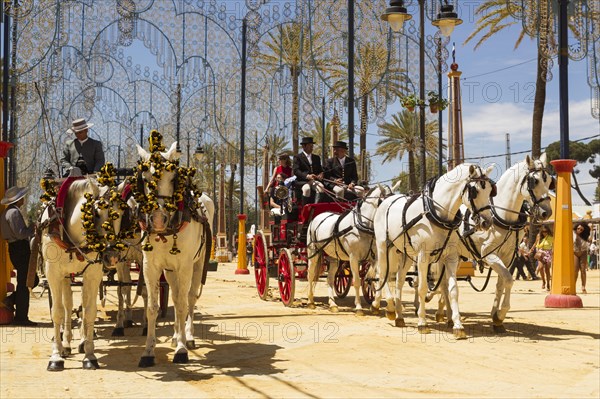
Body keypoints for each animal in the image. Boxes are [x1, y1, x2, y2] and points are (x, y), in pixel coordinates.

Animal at [41, 177, 126, 370]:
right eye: (96, 213)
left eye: (120, 214)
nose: (112, 256)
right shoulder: (53, 274)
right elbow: (57, 311)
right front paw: (56, 356)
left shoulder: (93, 274)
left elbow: (89, 311)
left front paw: (89, 355)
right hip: (65, 276)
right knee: (67, 305)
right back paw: (66, 344)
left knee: (82, 303)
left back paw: (81, 340)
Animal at [135, 139, 213, 368]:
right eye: (145, 178)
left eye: (173, 178)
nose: (158, 219)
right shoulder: (150, 267)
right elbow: (153, 308)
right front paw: (148, 352)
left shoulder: (185, 266)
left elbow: (182, 305)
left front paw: (182, 349)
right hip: (170, 271)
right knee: (177, 296)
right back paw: (176, 335)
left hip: (197, 266)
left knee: (188, 298)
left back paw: (188, 337)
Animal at [304, 185, 394, 316]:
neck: (362, 225)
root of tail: (317, 217)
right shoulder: (353, 257)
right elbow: (356, 281)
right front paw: (359, 307)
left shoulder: (374, 257)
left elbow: (379, 278)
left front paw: (377, 305)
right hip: (313, 252)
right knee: (310, 274)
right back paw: (310, 301)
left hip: (334, 257)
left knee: (330, 279)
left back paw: (332, 304)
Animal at [370, 164, 496, 340]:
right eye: (474, 191)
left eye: (491, 190)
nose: (487, 222)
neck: (437, 213)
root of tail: (386, 200)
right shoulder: (423, 256)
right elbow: (422, 288)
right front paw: (422, 323)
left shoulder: (450, 257)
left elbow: (452, 290)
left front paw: (458, 326)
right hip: (384, 248)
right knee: (383, 275)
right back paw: (388, 308)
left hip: (406, 253)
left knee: (399, 280)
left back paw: (400, 316)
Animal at [432, 155, 552, 332]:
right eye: (534, 181)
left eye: (549, 180)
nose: (547, 212)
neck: (501, 215)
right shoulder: (489, 254)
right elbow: (509, 280)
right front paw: (501, 314)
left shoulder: (508, 257)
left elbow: (501, 283)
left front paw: (496, 318)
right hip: (443, 255)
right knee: (443, 283)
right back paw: (445, 315)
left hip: (458, 256)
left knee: (445, 282)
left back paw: (443, 311)